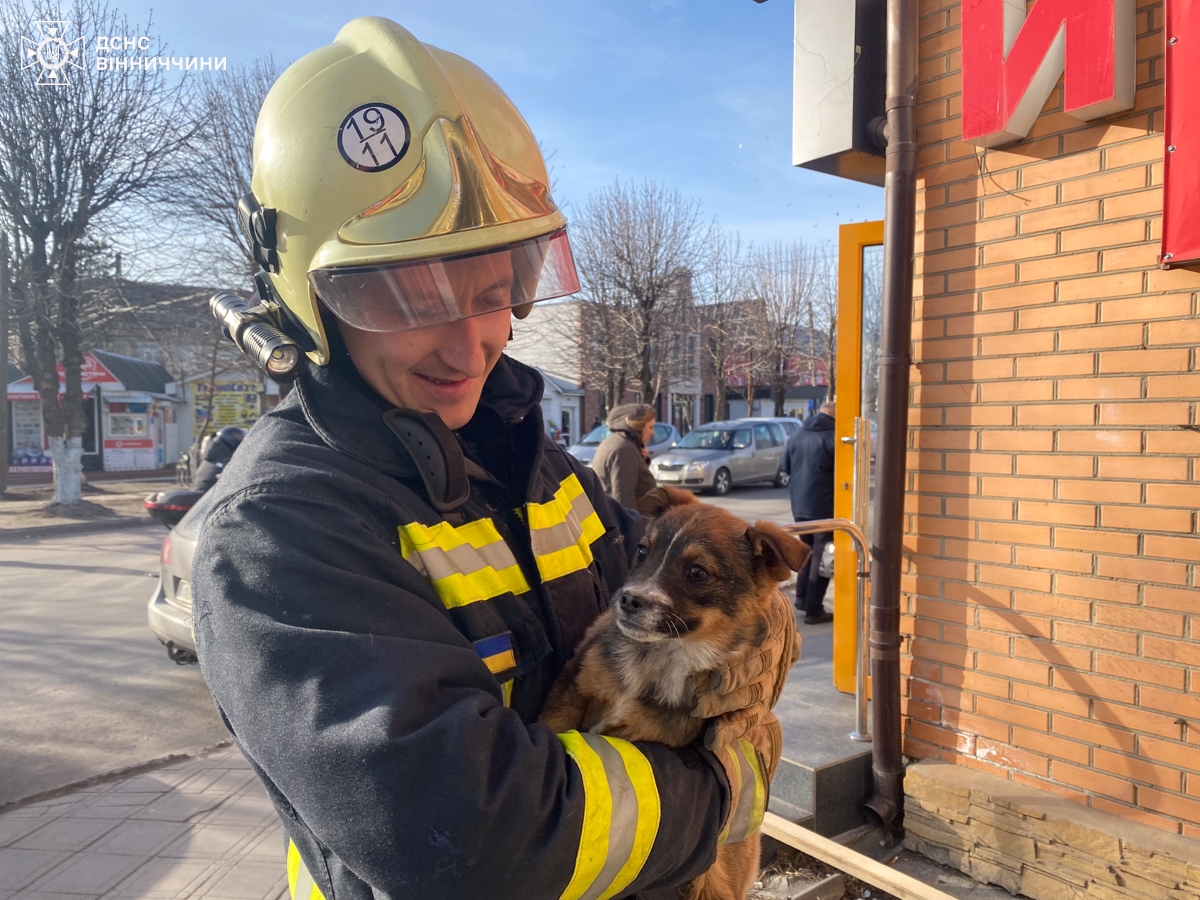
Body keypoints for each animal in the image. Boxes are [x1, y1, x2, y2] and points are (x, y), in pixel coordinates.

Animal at [542, 494, 806, 900]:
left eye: (697, 572)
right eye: (641, 551)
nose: (628, 600)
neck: (663, 656)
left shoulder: (650, 734)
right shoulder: (571, 693)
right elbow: (550, 725)